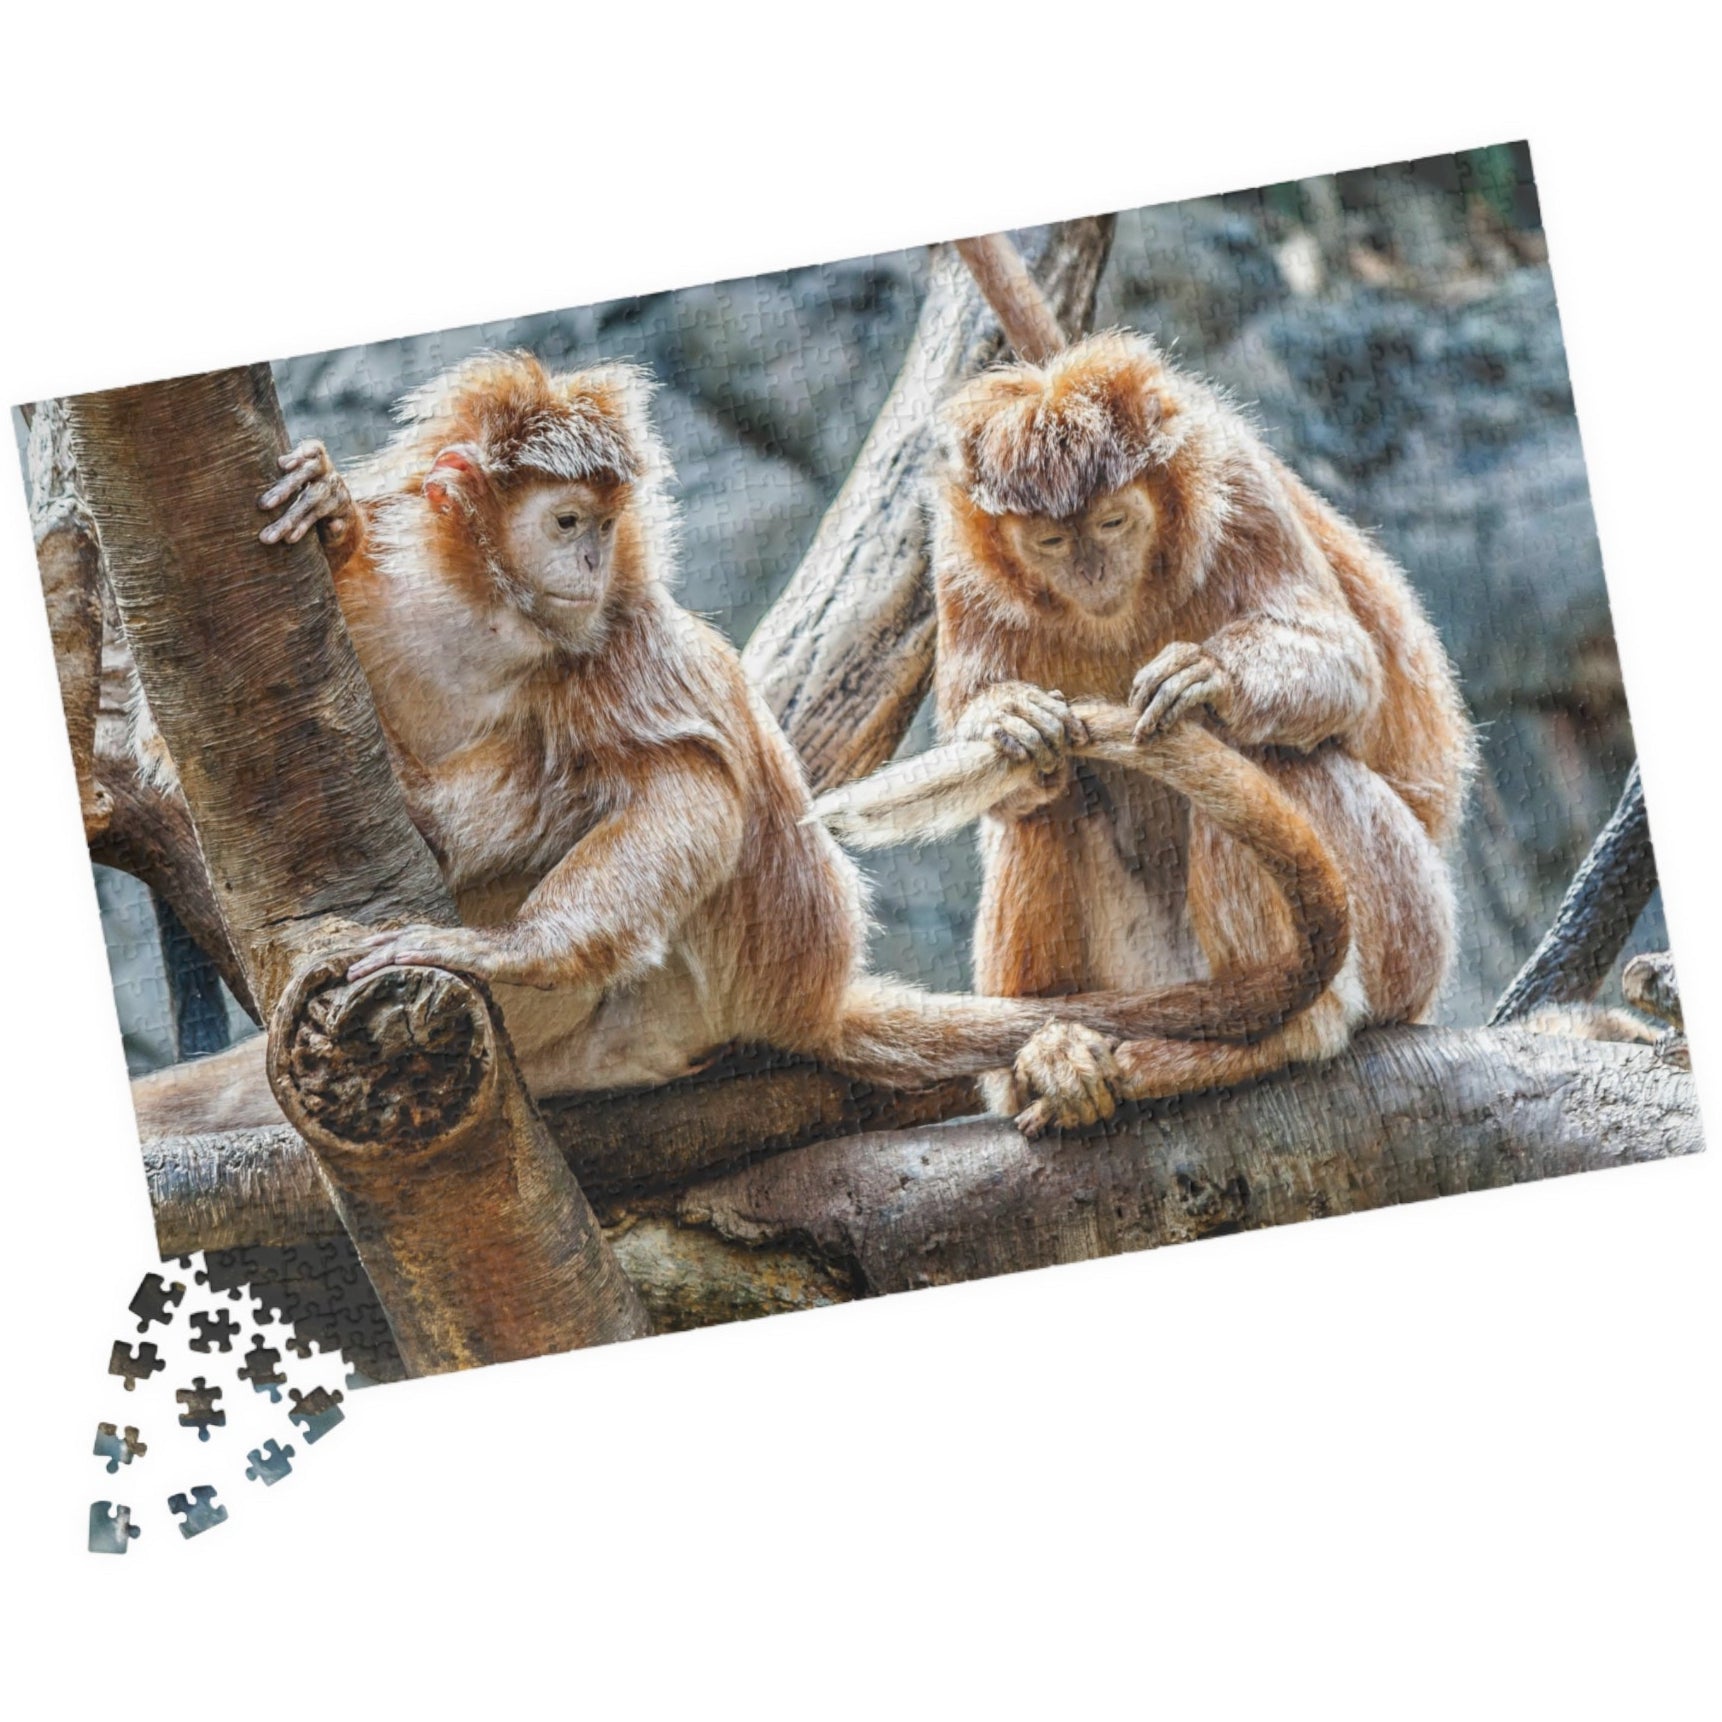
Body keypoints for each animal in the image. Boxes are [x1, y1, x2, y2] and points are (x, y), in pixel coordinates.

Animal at [131, 349, 1349, 1141]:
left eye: (601, 525)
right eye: (564, 521)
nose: (589, 561)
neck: (488, 620)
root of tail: (808, 996)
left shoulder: (618, 637)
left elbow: (687, 789)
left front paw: (509, 950)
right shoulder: (396, 603)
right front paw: (329, 515)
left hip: (694, 985)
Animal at [827, 329, 1475, 1134]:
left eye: (1112, 522)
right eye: (1050, 542)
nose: (1093, 570)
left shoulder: (1238, 485)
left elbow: (1350, 671)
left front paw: (1211, 678)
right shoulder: (954, 555)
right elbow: (1007, 774)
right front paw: (1007, 718)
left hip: (1408, 926)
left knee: (1274, 756)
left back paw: (1287, 1031)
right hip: (1145, 976)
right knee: (1050, 797)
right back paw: (1047, 1054)